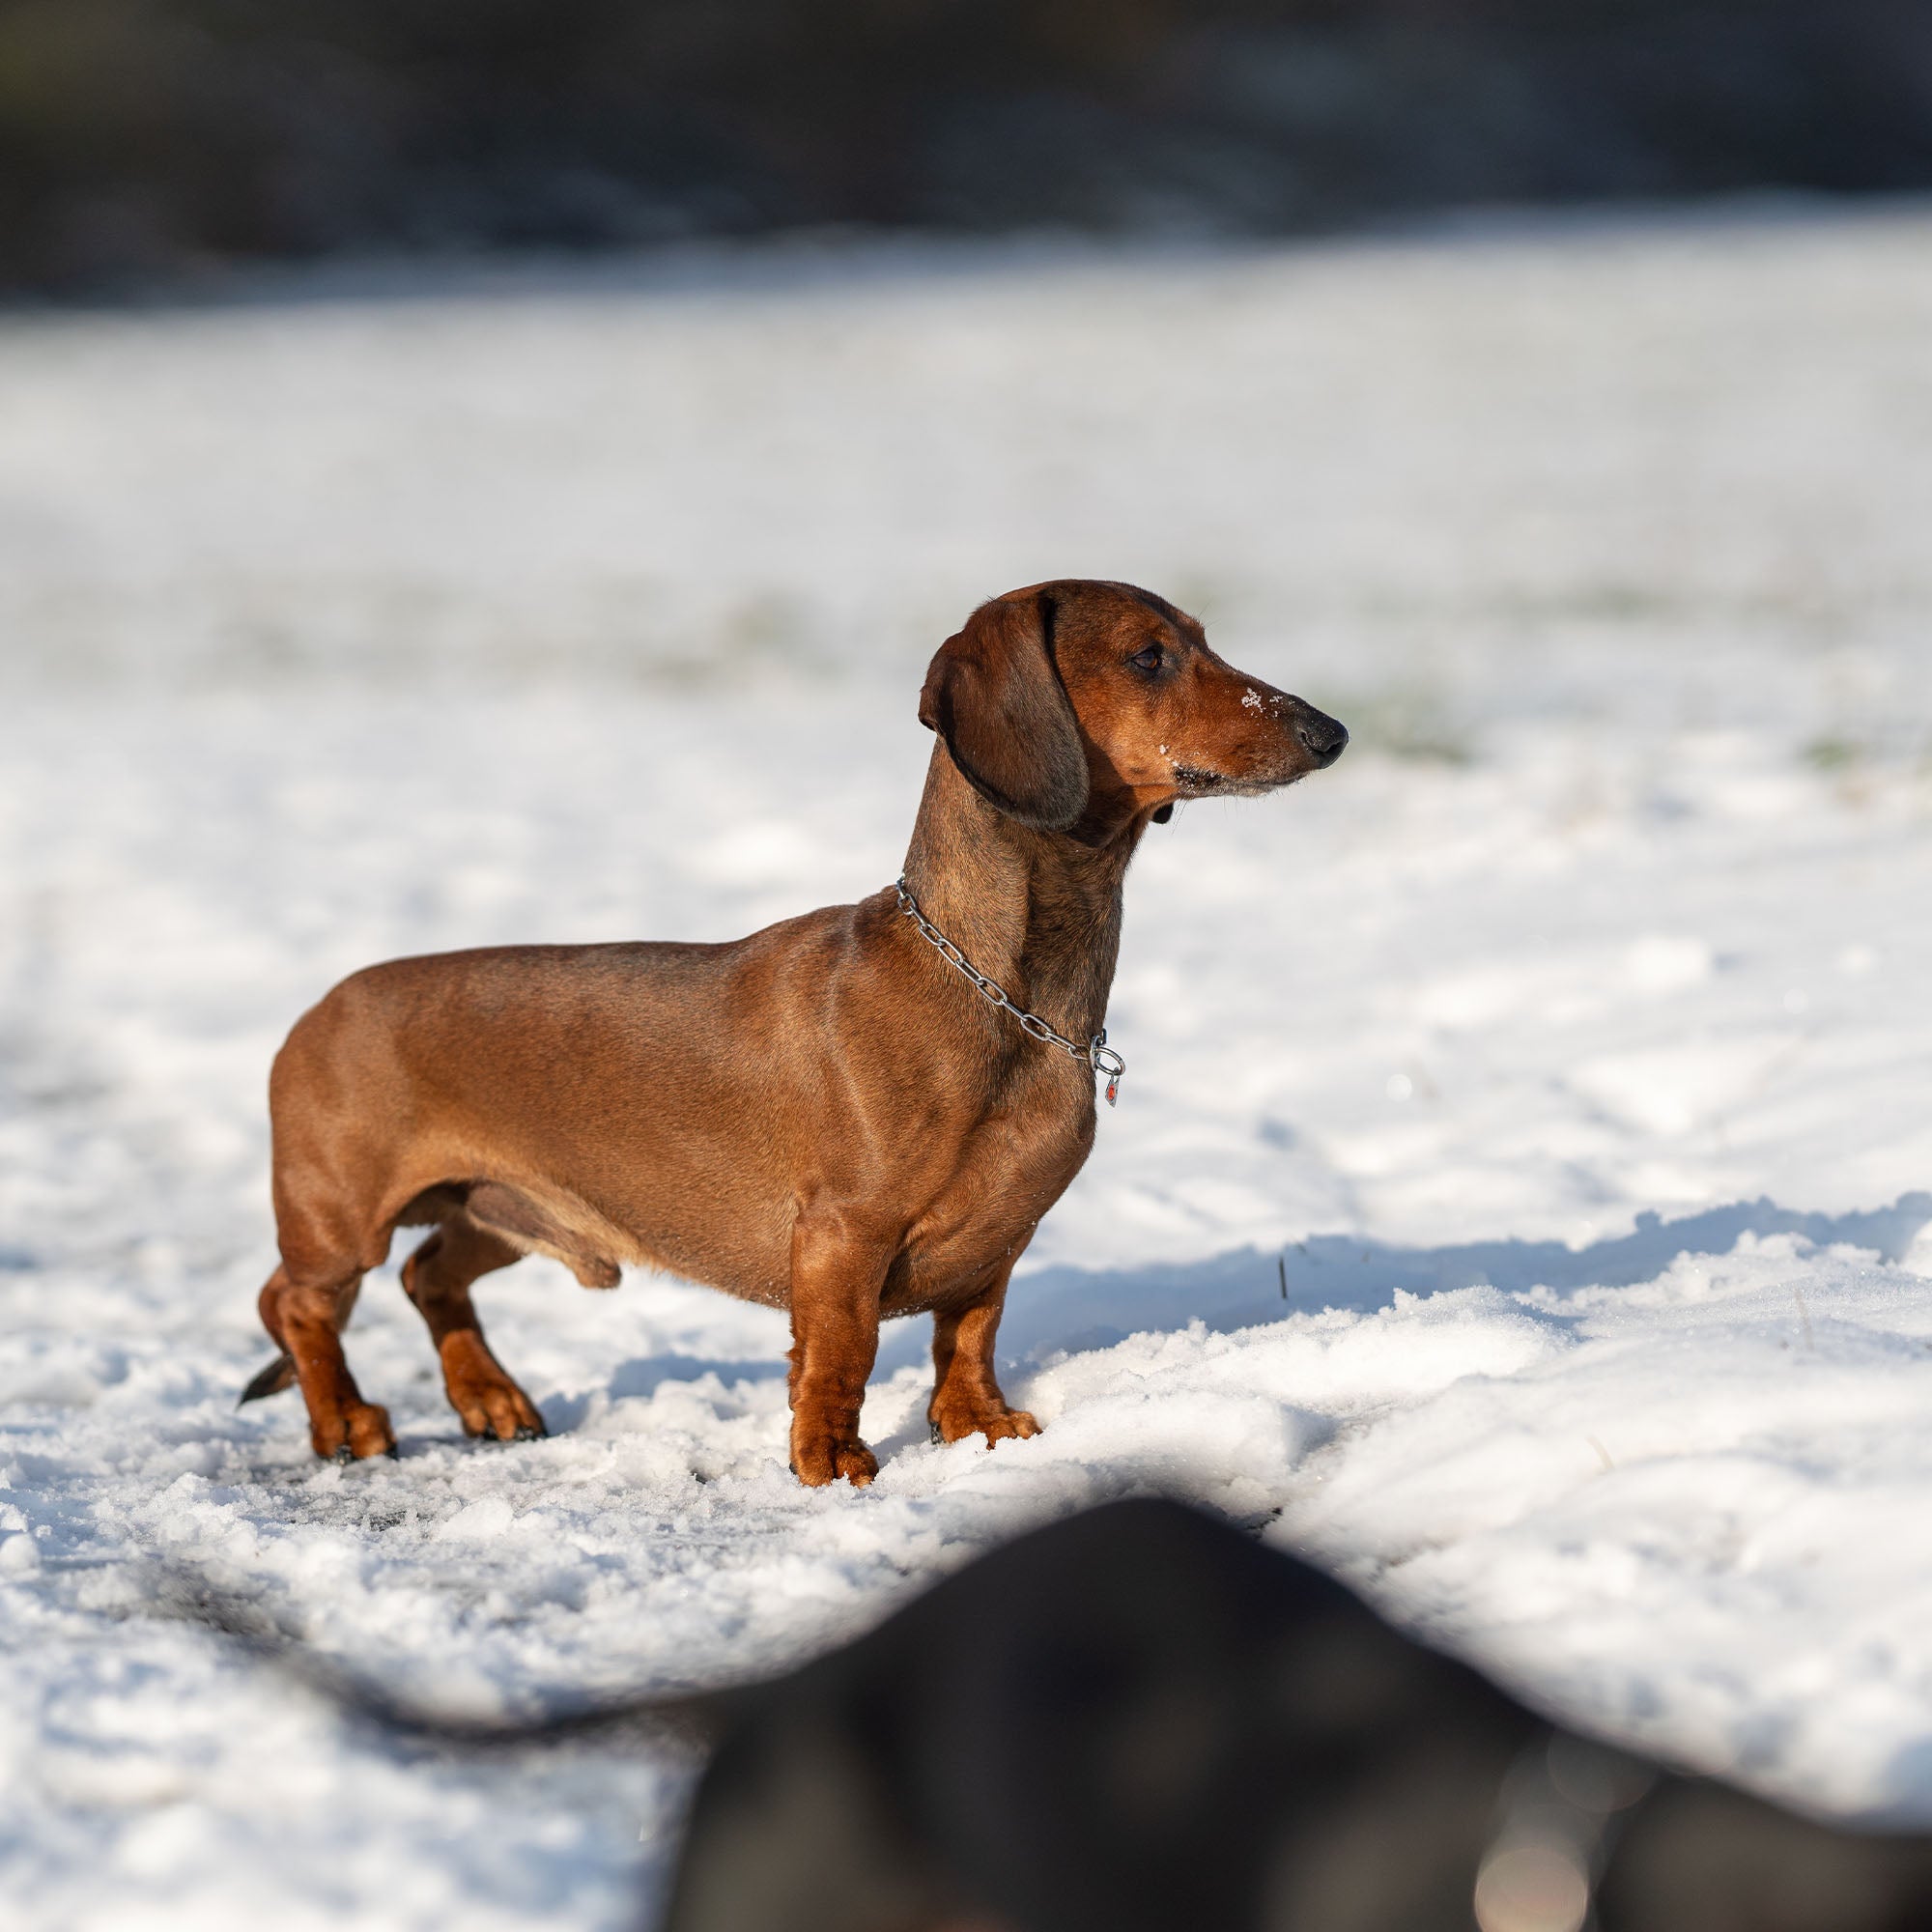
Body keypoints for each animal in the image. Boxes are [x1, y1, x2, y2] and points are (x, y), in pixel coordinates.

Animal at [242, 580, 1352, 1484]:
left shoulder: (1000, 1241)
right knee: (296, 1304)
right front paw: (830, 1457)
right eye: (1147, 655)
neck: (1002, 993)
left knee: (428, 1277)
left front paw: (978, 1426)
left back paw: (490, 1400)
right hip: (342, 1220)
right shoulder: (840, 1234)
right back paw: (346, 1422)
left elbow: (970, 1334)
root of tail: (315, 1009)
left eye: (1202, 640)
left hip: (494, 1210)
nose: (1330, 731)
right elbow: (843, 1351)